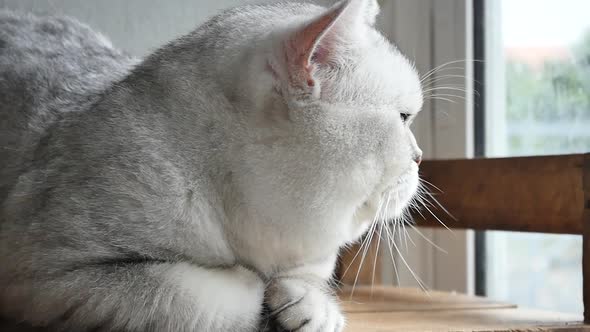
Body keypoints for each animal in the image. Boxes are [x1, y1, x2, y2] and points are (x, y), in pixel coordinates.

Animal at [1, 0, 426, 332]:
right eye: (404, 117)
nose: (421, 157)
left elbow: (309, 282)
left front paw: (308, 305)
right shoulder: (50, 276)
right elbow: (197, 295)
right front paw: (259, 294)